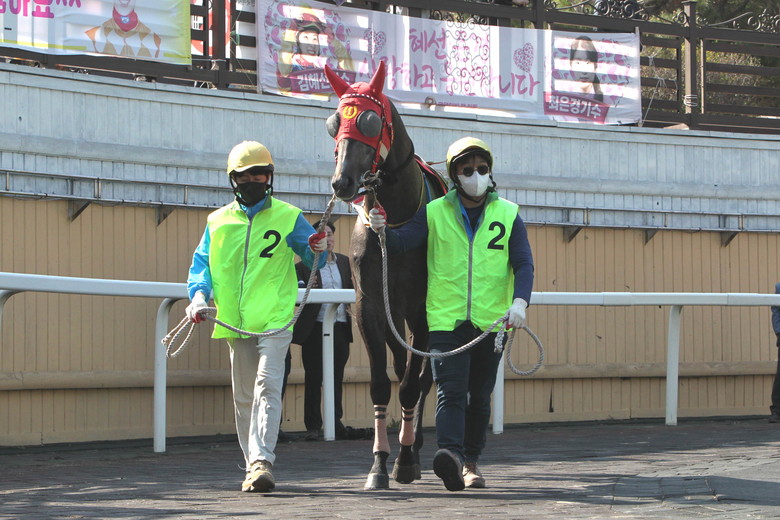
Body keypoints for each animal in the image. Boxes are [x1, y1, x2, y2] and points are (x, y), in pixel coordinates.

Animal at [324, 61, 448, 490]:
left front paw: (405, 459)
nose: (342, 182)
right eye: (333, 123)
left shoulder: (423, 308)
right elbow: (381, 383)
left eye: (370, 120)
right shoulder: (370, 305)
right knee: (401, 363)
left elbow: (412, 384)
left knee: (422, 375)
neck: (393, 224)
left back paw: (417, 443)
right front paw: (378, 463)